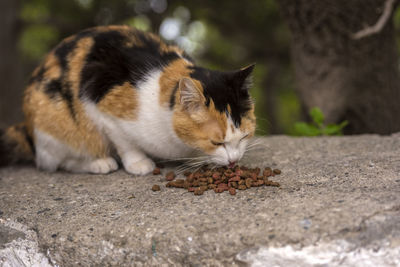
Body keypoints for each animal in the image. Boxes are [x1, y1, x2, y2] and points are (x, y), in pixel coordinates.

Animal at [0, 25, 256, 176]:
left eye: (244, 137)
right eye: (216, 142)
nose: (234, 161)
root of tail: (27, 129)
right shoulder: (104, 111)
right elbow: (125, 143)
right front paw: (138, 164)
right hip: (54, 127)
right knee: (58, 162)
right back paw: (100, 163)